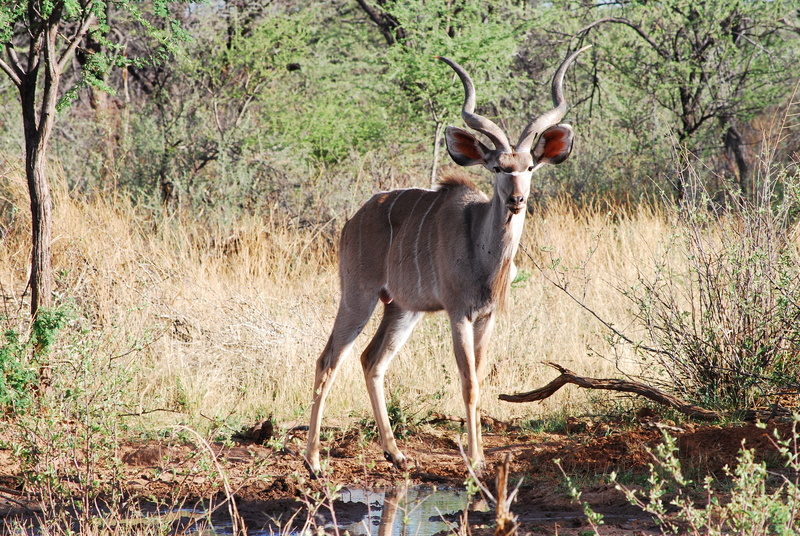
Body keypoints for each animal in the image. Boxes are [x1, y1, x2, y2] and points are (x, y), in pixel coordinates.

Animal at [305, 47, 589, 474]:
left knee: (372, 360)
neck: (482, 251)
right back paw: (313, 462)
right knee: (328, 360)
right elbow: (468, 383)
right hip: (359, 296)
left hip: (401, 309)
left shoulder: (487, 317)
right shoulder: (459, 314)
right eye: (497, 167)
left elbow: (481, 379)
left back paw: (396, 454)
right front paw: (476, 460)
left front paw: (479, 454)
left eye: (529, 167)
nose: (517, 199)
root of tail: (352, 221)